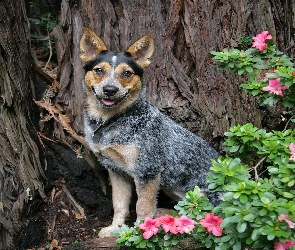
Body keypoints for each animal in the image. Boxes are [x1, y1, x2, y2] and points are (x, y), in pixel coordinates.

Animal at [80, 28, 221, 237]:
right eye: (99, 70)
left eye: (127, 73)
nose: (110, 89)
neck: (109, 122)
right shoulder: (116, 170)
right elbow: (119, 204)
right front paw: (116, 229)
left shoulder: (148, 170)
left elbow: (143, 206)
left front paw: (141, 231)